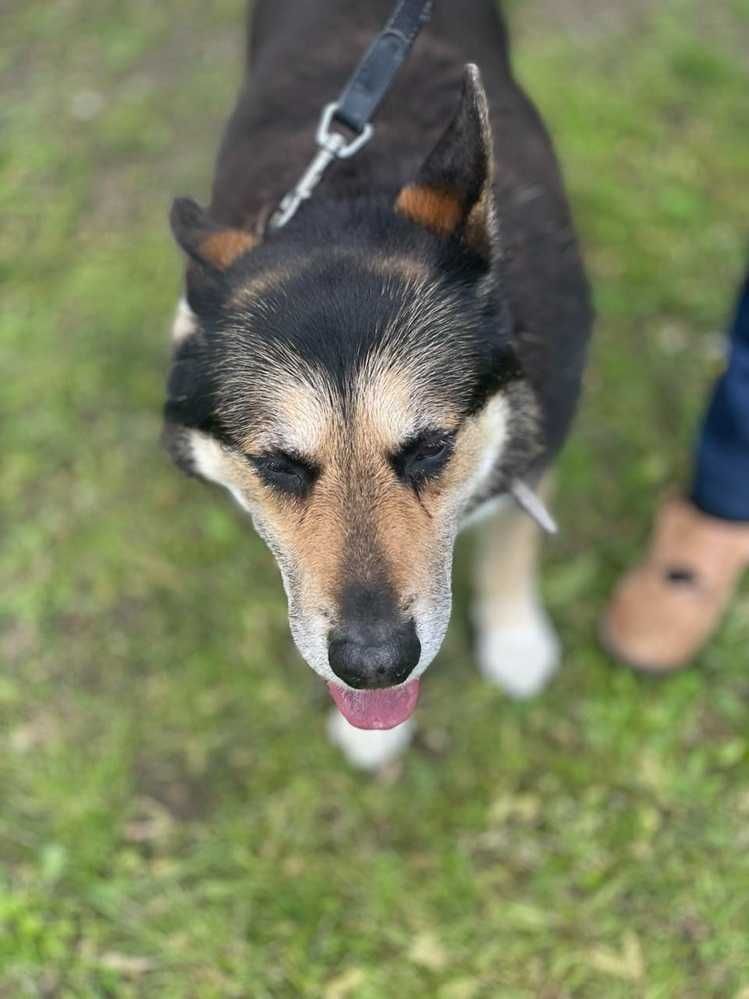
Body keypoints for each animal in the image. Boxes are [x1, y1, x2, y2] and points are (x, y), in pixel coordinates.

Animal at [164, 0, 592, 768]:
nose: (373, 666)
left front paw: (515, 638)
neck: (348, 193)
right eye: (279, 464)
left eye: (430, 447)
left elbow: (514, 535)